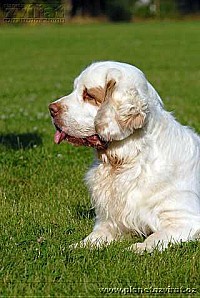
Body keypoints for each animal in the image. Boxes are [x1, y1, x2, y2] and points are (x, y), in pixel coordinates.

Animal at [48, 61, 200, 253]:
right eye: (74, 88)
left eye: (88, 94)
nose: (51, 109)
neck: (128, 159)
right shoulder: (110, 220)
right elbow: (93, 237)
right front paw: (77, 246)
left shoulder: (186, 219)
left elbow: (155, 237)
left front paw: (137, 248)